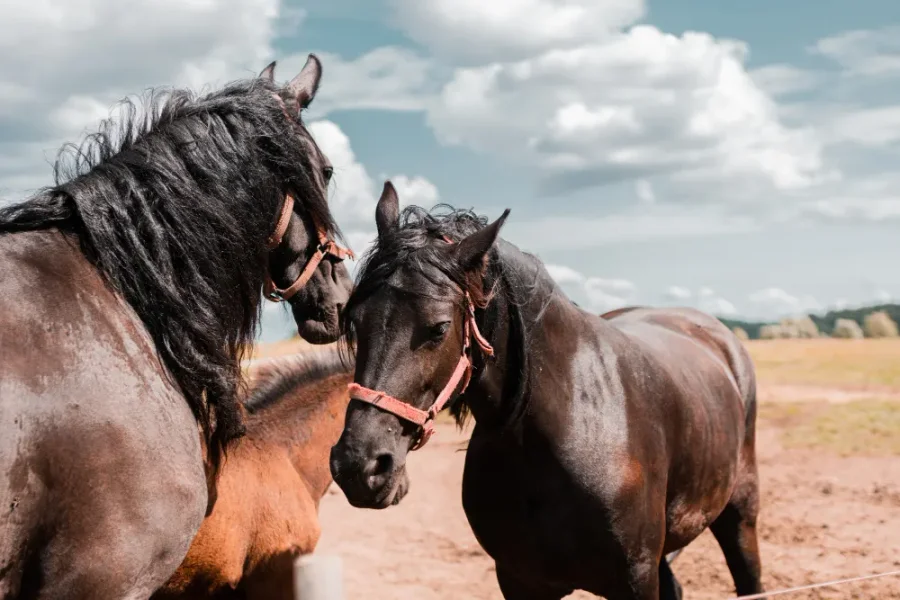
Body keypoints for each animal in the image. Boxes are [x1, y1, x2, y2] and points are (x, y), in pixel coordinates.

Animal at [330, 182, 763, 599]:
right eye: (355, 321)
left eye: (438, 328)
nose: (358, 466)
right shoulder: (520, 581)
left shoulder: (636, 580)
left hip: (739, 515)